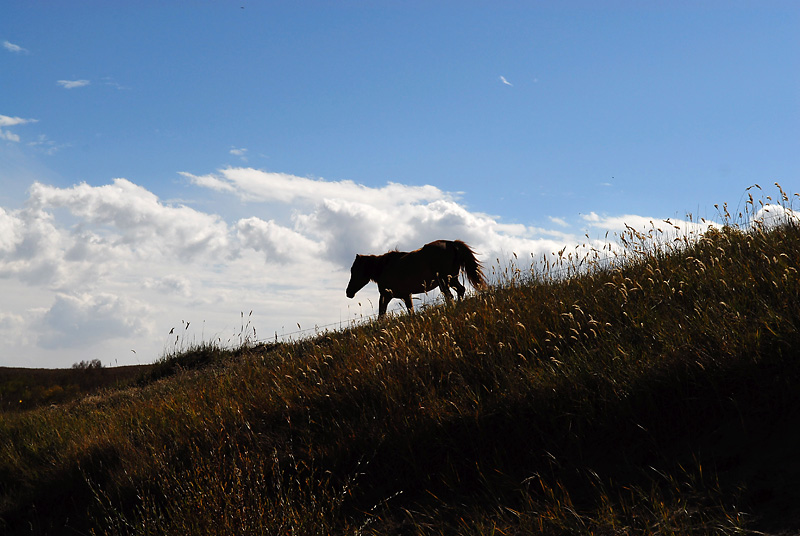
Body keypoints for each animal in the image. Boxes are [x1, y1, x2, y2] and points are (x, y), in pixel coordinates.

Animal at [346, 239, 487, 317]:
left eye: (354, 271)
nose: (348, 292)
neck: (383, 267)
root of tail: (451, 244)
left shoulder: (386, 295)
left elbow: (382, 314)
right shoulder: (406, 295)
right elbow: (409, 311)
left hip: (445, 281)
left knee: (450, 296)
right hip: (451, 279)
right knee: (460, 290)